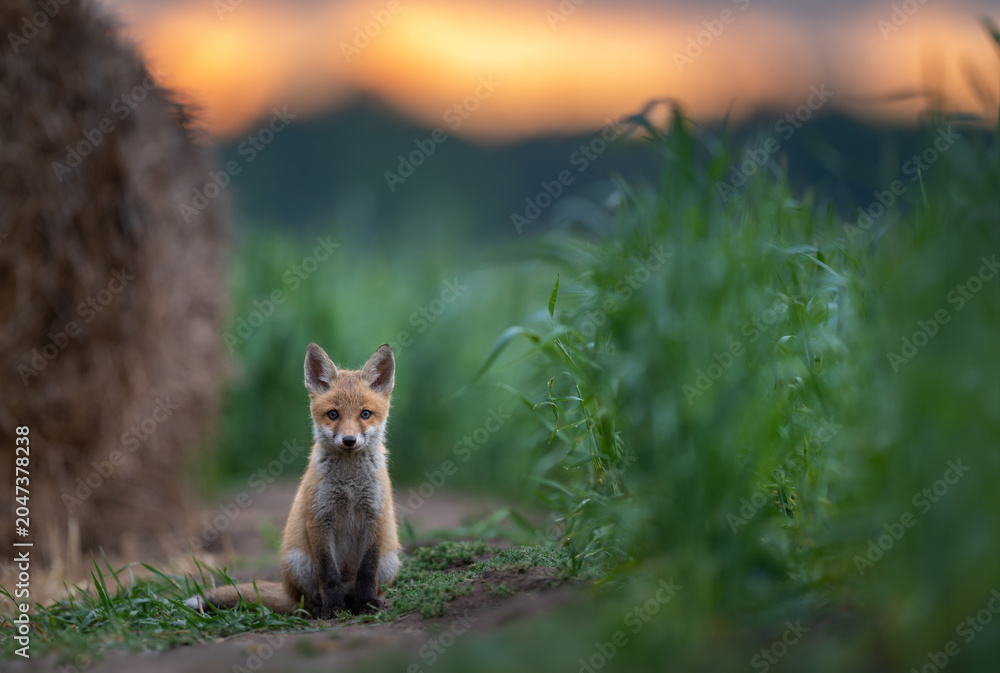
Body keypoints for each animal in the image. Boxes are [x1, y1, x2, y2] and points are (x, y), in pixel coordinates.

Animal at [186, 343, 402, 617]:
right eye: (333, 414)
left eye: (365, 414)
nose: (349, 440)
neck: (349, 484)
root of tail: (286, 591)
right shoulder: (319, 518)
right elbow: (328, 575)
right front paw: (333, 609)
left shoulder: (375, 517)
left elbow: (367, 571)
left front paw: (368, 604)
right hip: (298, 561)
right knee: (306, 602)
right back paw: (321, 609)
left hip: (390, 561)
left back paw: (363, 603)